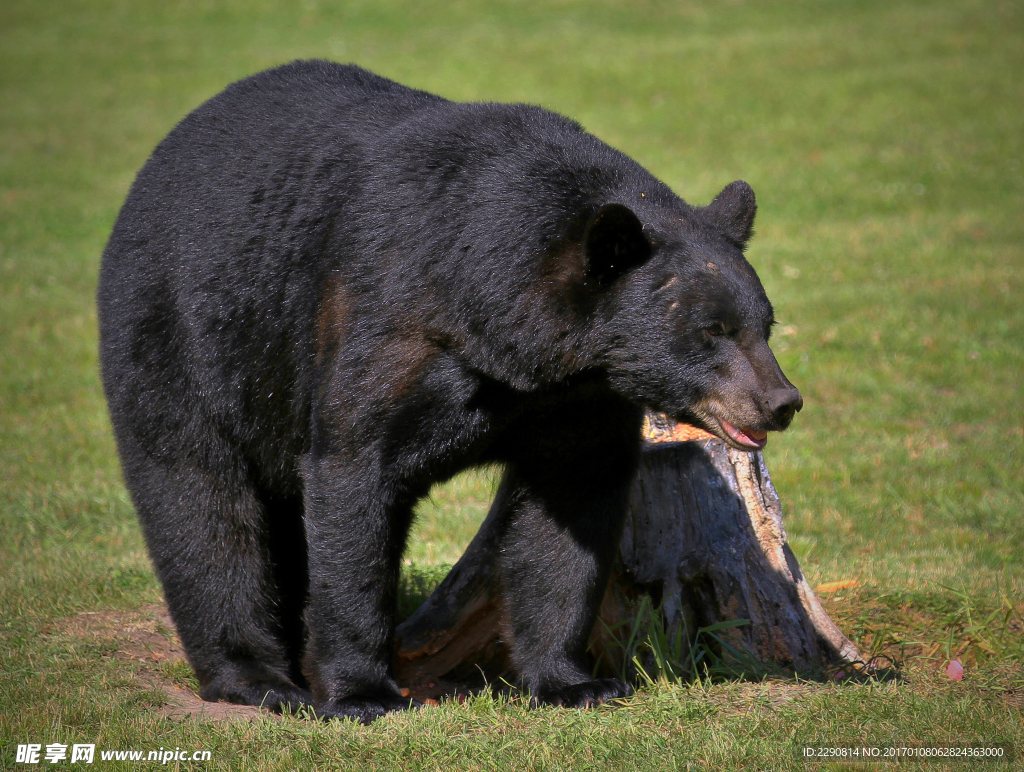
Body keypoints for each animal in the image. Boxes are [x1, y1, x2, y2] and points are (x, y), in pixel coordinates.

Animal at [97, 60, 802, 723]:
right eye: (711, 331)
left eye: (765, 325)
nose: (782, 401)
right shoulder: (388, 319)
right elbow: (352, 476)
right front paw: (362, 693)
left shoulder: (575, 400)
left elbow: (569, 513)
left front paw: (576, 682)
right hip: (183, 338)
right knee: (203, 502)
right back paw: (257, 678)